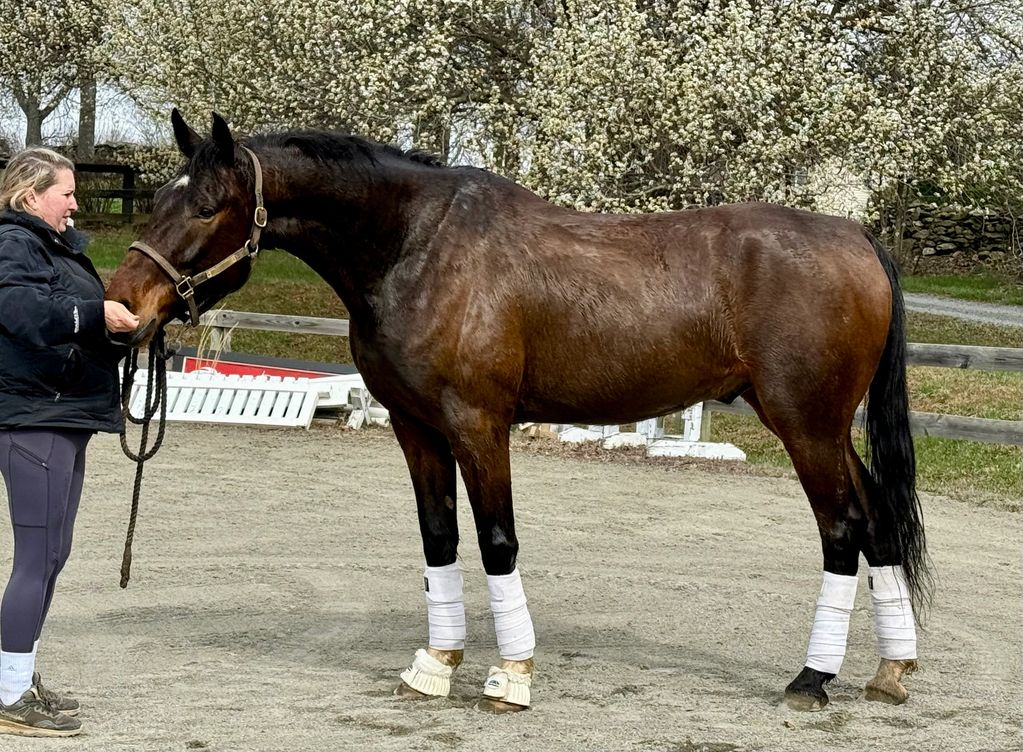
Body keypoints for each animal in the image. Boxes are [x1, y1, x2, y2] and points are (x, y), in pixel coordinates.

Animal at [106, 110, 930, 713]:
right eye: (157, 200)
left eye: (206, 206)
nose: (122, 310)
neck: (416, 246)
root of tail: (855, 236)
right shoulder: (415, 427)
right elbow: (439, 539)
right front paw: (435, 665)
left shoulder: (477, 424)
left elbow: (496, 540)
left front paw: (512, 678)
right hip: (824, 428)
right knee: (878, 521)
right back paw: (890, 672)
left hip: (805, 425)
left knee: (842, 529)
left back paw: (811, 680)